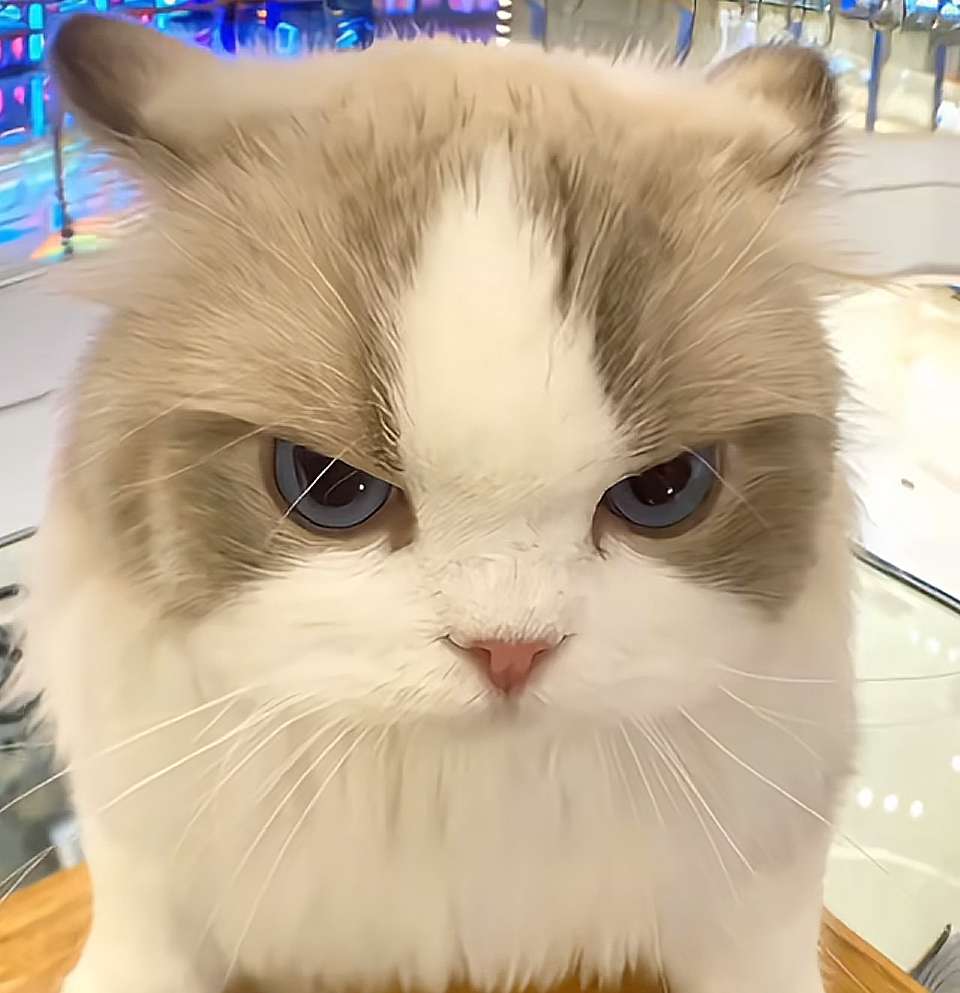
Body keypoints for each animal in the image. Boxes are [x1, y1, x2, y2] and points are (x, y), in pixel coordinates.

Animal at [23, 15, 855, 993]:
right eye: (326, 485)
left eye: (663, 490)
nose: (509, 652)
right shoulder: (141, 842)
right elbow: (135, 944)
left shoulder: (772, 865)